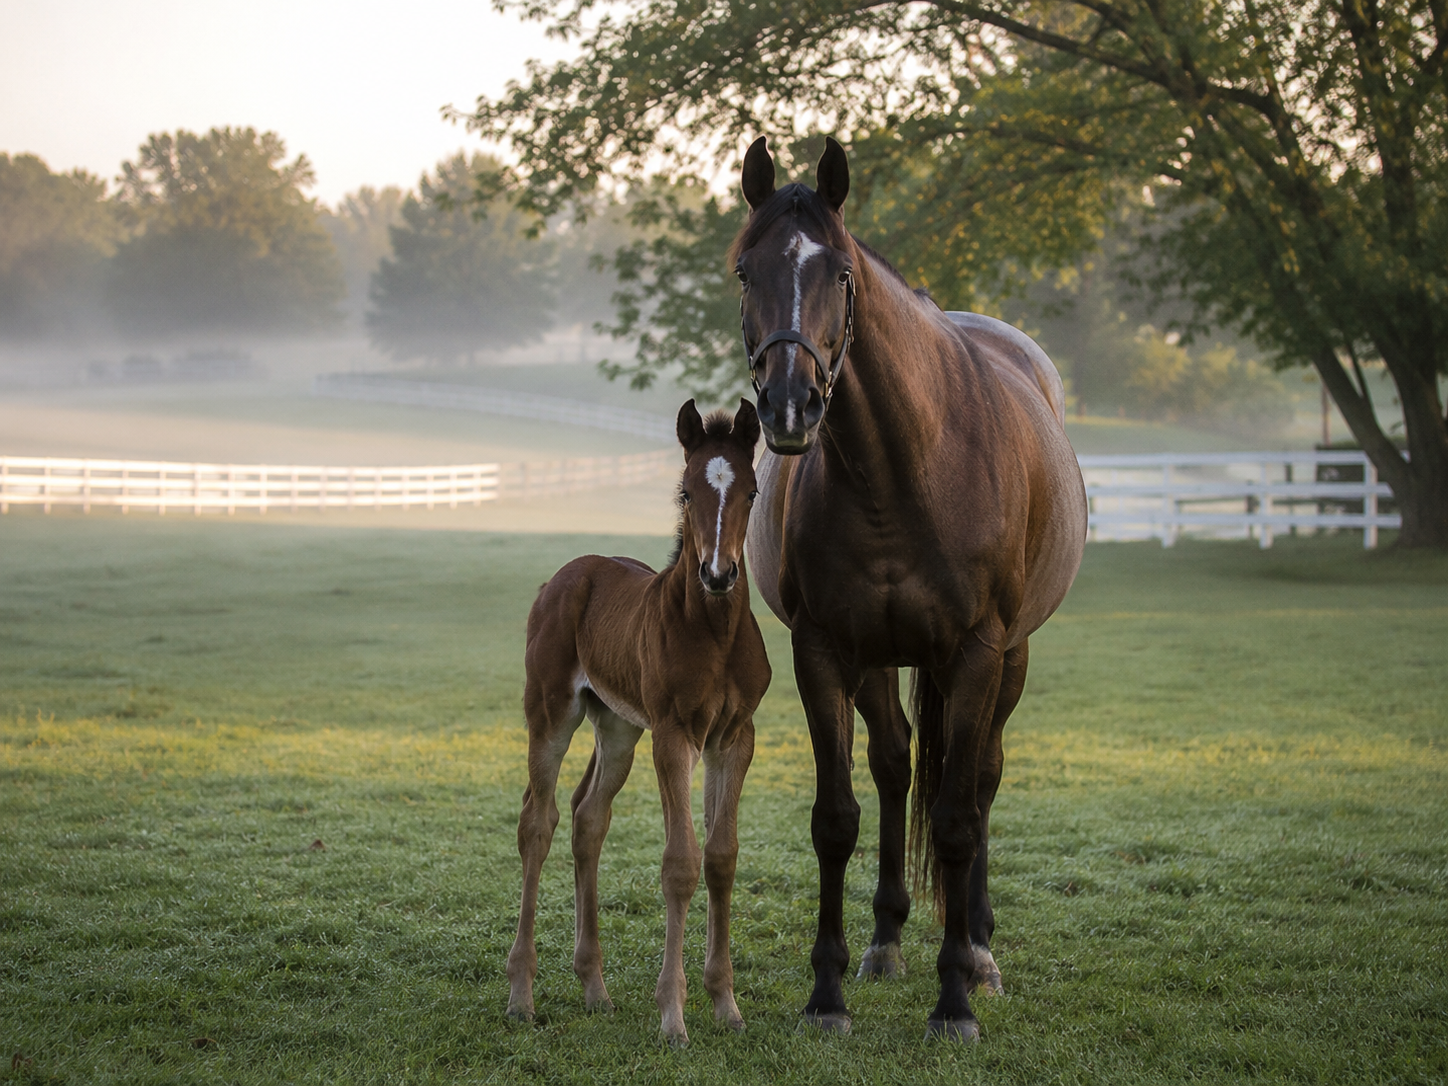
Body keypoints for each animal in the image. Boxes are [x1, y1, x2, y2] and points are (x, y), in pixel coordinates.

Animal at [505, 398, 771, 1046]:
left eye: (752, 491)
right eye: (685, 492)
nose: (718, 574)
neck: (715, 633)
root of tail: (564, 575)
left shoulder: (734, 738)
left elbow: (721, 856)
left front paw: (726, 1004)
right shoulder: (674, 736)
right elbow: (680, 863)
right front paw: (672, 1016)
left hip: (618, 728)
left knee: (587, 818)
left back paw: (594, 989)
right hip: (551, 712)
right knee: (538, 822)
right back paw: (521, 996)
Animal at [737, 137, 1087, 1041]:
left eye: (840, 273)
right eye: (747, 269)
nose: (790, 406)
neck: (903, 467)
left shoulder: (976, 653)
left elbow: (960, 818)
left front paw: (955, 997)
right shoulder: (824, 651)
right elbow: (837, 819)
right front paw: (827, 996)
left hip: (1010, 659)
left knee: (982, 777)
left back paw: (981, 948)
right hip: (880, 659)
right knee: (896, 766)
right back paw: (888, 938)